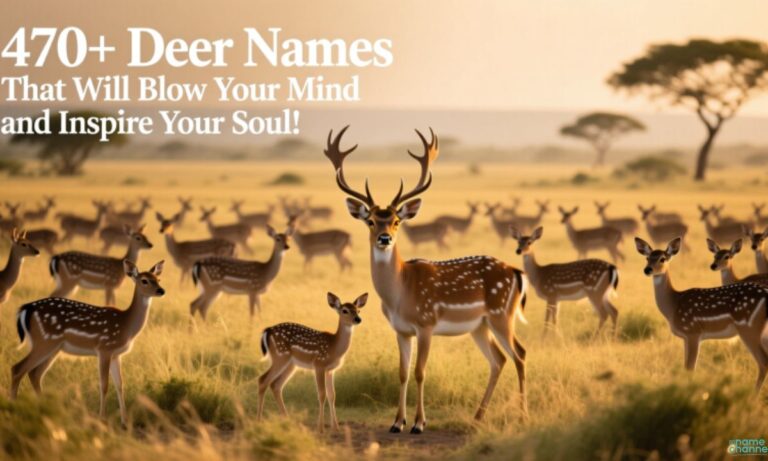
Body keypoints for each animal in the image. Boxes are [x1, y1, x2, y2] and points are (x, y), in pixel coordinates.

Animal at [11, 260, 166, 426]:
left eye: (158, 279)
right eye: (144, 280)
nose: (161, 290)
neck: (126, 325)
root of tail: (25, 309)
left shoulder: (116, 354)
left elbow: (120, 385)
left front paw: (124, 422)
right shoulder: (104, 348)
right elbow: (104, 385)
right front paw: (102, 419)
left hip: (53, 347)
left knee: (35, 373)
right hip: (45, 341)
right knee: (18, 369)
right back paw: (13, 408)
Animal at [257, 292, 367, 432]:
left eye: (358, 310)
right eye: (344, 310)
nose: (358, 319)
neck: (334, 347)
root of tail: (268, 330)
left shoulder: (331, 370)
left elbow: (332, 395)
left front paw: (336, 427)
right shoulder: (319, 364)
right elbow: (322, 394)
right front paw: (321, 428)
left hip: (291, 364)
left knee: (275, 385)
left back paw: (288, 421)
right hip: (280, 356)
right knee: (263, 380)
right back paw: (259, 421)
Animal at [323, 126, 528, 434]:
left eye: (397, 221)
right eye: (370, 221)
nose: (385, 238)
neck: (400, 293)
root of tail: (516, 272)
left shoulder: (426, 323)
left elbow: (420, 372)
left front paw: (419, 424)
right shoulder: (401, 330)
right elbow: (402, 372)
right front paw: (397, 423)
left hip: (502, 314)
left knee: (520, 354)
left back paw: (523, 416)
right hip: (480, 325)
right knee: (498, 359)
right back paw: (477, 418)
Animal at [635, 237, 768, 390]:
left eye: (662, 259)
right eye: (647, 258)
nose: (647, 269)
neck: (673, 305)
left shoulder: (693, 331)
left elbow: (690, 368)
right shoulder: (685, 337)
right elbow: (685, 367)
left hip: (749, 327)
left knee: (763, 362)